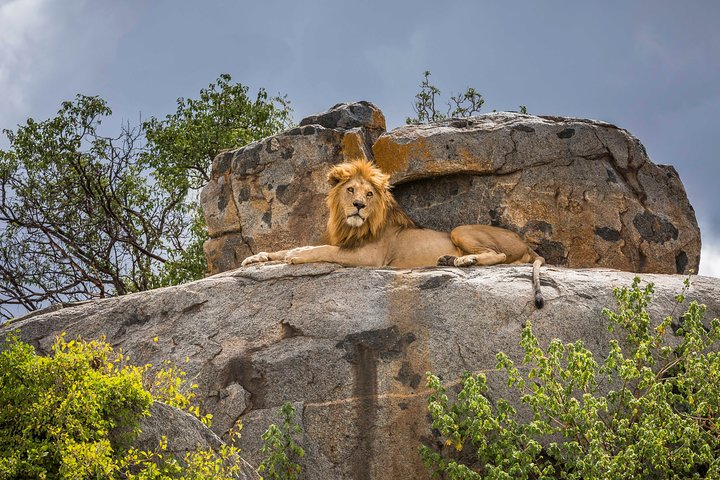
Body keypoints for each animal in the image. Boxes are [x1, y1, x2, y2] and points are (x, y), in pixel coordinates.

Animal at [242, 158, 544, 308]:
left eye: (369, 194)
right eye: (350, 189)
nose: (359, 206)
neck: (348, 226)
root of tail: (527, 244)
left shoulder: (369, 257)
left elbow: (321, 250)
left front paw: (296, 254)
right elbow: (283, 249)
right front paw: (255, 258)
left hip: (461, 229)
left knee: (498, 255)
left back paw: (463, 260)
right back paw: (448, 259)